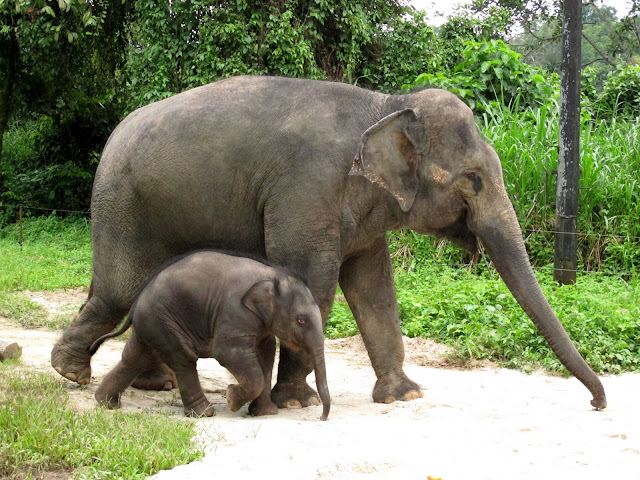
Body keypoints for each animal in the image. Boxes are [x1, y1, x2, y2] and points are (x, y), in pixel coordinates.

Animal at [89, 250, 330, 420]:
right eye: (301, 320)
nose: (321, 418)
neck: (273, 275)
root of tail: (137, 302)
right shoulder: (235, 312)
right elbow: (226, 352)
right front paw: (232, 398)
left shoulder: (261, 324)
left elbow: (266, 354)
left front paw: (265, 413)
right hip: (163, 321)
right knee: (183, 359)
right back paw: (205, 413)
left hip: (152, 324)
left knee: (136, 357)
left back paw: (106, 403)